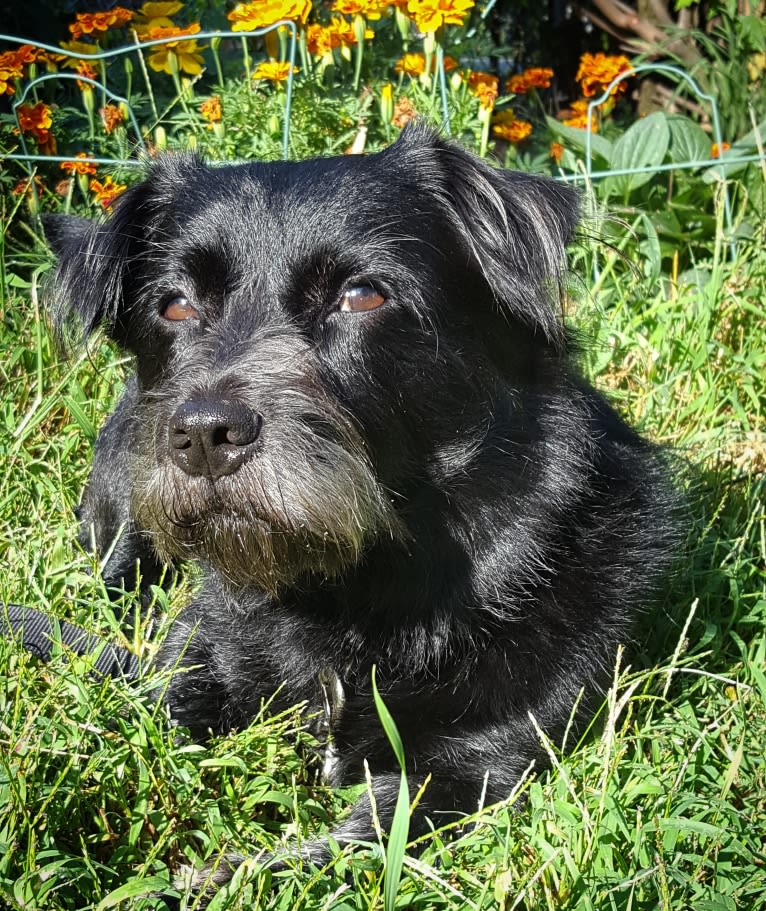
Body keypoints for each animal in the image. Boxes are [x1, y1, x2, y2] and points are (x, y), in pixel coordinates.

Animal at [46, 124, 680, 888]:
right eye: (174, 305)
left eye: (362, 295)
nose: (203, 433)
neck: (351, 602)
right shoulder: (193, 649)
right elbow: (137, 715)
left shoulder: (478, 764)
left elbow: (331, 850)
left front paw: (213, 877)